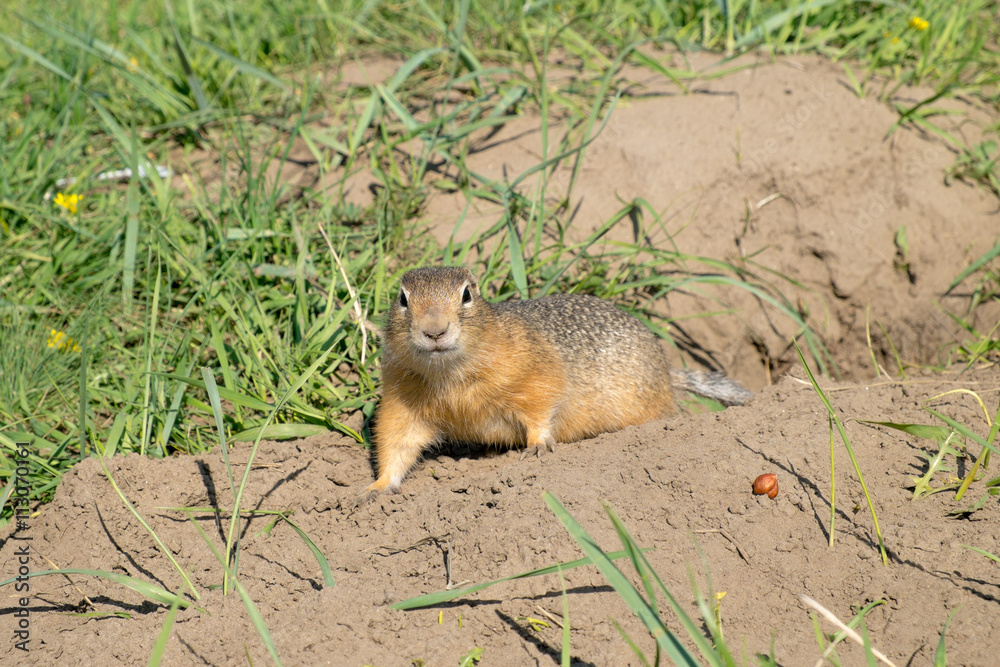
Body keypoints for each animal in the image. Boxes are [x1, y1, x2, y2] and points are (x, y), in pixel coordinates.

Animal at [362, 266, 751, 499]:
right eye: (402, 298)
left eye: (467, 295)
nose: (434, 331)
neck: (449, 374)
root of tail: (668, 373)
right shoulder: (402, 401)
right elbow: (395, 442)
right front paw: (375, 489)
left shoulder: (534, 374)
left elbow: (542, 407)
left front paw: (537, 445)